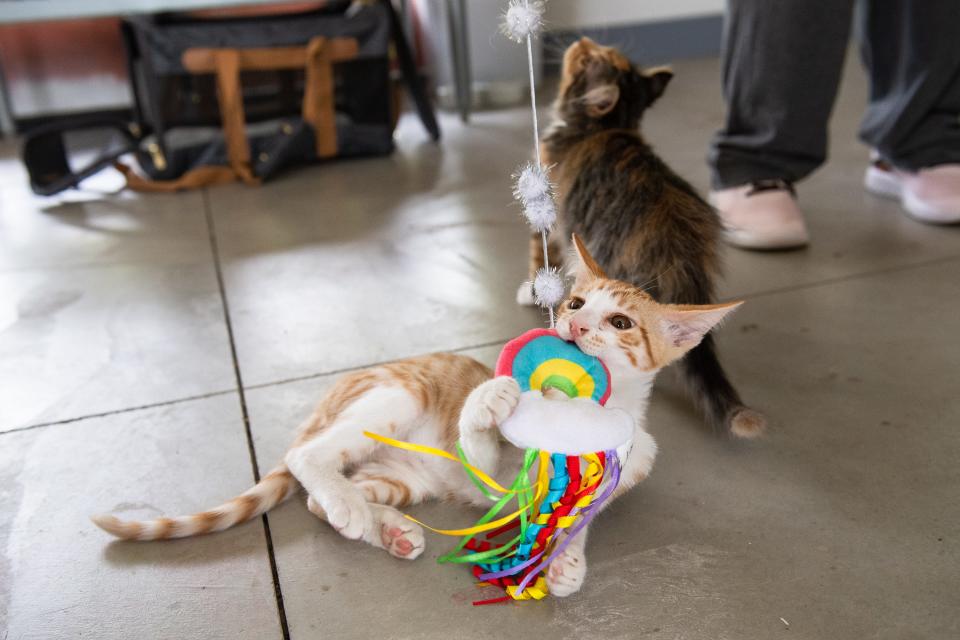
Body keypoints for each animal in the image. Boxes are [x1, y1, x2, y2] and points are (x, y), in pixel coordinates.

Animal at [94, 238, 740, 596]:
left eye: (621, 323)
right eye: (578, 302)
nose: (575, 325)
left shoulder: (630, 462)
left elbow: (579, 518)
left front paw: (567, 562)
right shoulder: (496, 474)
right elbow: (481, 444)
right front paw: (490, 401)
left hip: (403, 478)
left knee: (320, 500)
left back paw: (384, 527)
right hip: (394, 397)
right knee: (307, 457)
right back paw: (352, 506)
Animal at [524, 38, 764, 440]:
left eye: (587, 58)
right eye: (602, 49)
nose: (583, 41)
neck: (605, 125)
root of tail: (680, 249)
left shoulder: (548, 208)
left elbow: (539, 251)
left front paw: (531, 290)